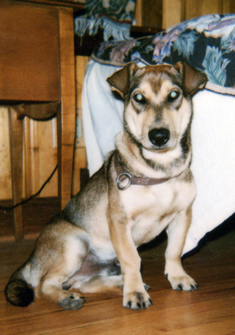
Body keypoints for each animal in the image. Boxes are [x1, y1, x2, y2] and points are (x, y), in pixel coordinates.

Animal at [5, 61, 207, 312]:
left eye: (174, 95)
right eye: (138, 98)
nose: (159, 136)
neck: (158, 170)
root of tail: (32, 258)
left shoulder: (182, 215)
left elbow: (174, 251)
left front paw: (178, 277)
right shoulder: (120, 221)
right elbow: (132, 258)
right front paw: (135, 293)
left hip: (93, 266)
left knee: (84, 283)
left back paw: (120, 284)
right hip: (76, 243)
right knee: (44, 286)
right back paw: (68, 298)